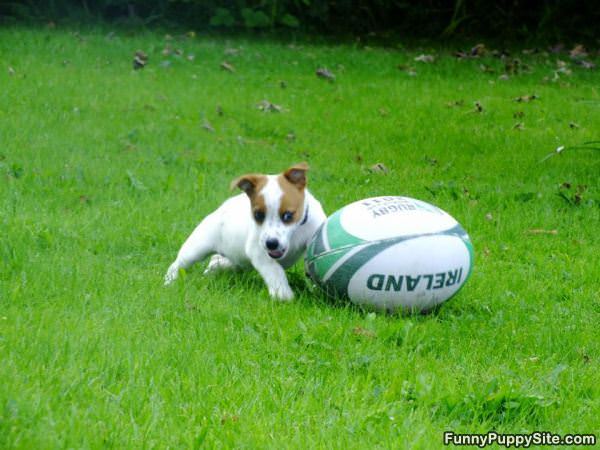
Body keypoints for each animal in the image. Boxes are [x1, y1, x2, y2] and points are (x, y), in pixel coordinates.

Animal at [162, 163, 326, 300]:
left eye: (288, 215)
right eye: (258, 215)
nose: (271, 244)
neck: (296, 233)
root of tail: (222, 208)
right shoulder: (259, 251)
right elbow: (274, 270)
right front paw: (283, 294)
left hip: (236, 262)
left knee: (216, 261)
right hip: (196, 249)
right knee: (177, 264)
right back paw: (169, 281)